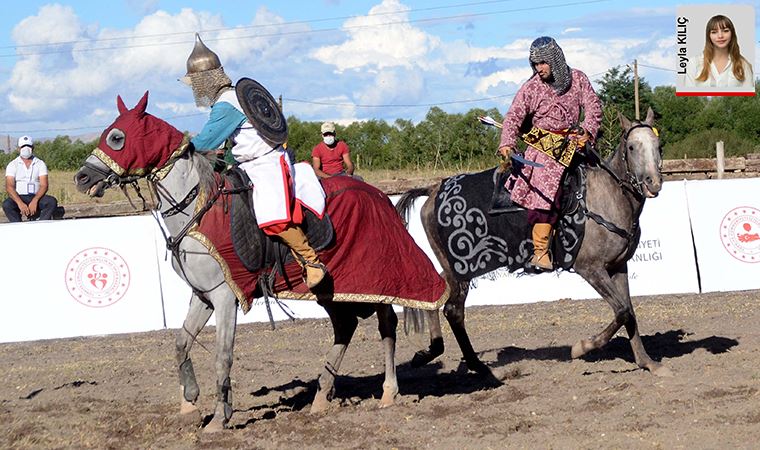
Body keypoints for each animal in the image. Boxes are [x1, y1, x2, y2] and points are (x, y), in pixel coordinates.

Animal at [74, 94, 400, 432]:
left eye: (117, 137)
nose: (82, 177)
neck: (198, 208)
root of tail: (379, 195)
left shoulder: (225, 297)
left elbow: (223, 356)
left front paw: (219, 417)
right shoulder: (202, 296)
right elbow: (181, 342)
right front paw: (190, 401)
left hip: (379, 279)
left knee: (386, 324)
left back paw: (388, 391)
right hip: (333, 290)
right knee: (345, 327)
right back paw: (322, 396)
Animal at [398, 108, 672, 376]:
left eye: (658, 146)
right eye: (632, 147)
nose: (653, 183)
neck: (606, 195)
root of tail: (434, 190)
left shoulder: (617, 266)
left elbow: (629, 312)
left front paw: (648, 362)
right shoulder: (590, 268)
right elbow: (622, 311)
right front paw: (582, 347)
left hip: (454, 267)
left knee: (436, 293)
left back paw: (434, 352)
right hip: (462, 267)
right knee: (453, 310)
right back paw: (474, 364)